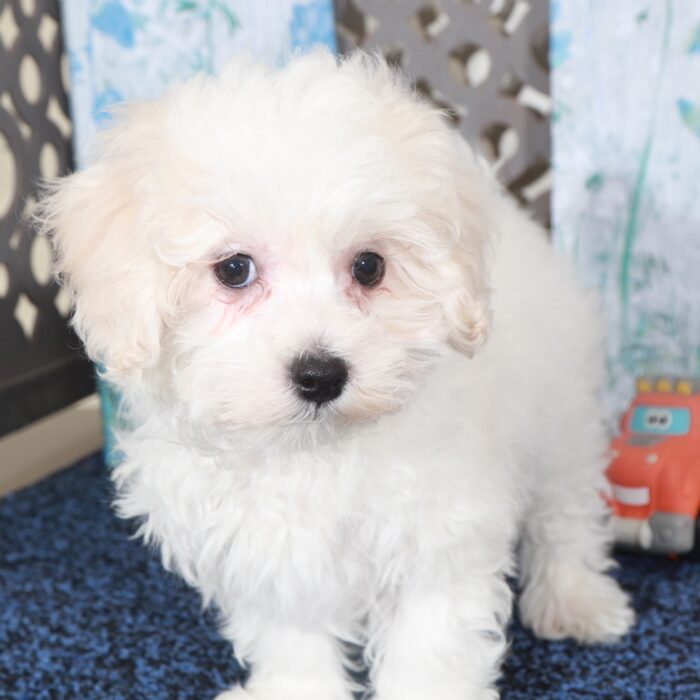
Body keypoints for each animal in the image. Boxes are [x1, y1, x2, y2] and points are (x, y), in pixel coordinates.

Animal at [38, 52, 636, 696]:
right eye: (233, 269)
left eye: (369, 266)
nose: (321, 375)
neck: (315, 451)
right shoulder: (270, 553)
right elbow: (293, 639)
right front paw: (296, 686)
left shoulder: (439, 535)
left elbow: (432, 647)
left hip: (564, 408)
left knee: (567, 510)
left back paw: (575, 598)